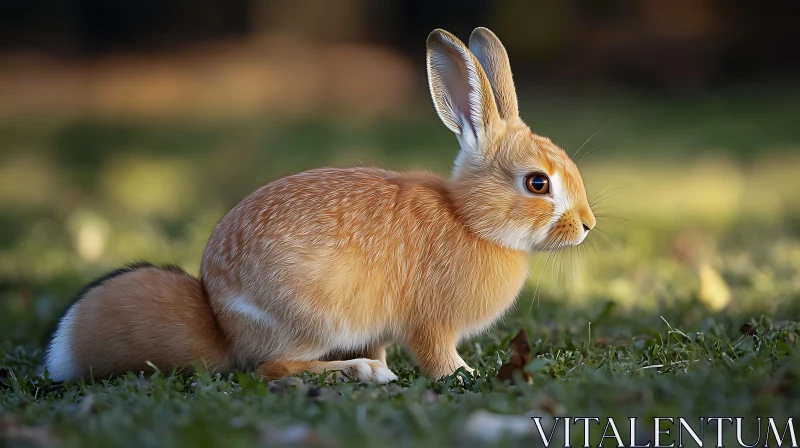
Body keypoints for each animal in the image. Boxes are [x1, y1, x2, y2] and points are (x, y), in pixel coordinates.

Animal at [42, 27, 592, 384]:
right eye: (538, 183)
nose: (587, 226)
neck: (471, 219)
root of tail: (222, 324)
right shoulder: (431, 324)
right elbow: (437, 357)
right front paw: (465, 374)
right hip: (314, 318)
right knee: (272, 369)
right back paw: (365, 372)